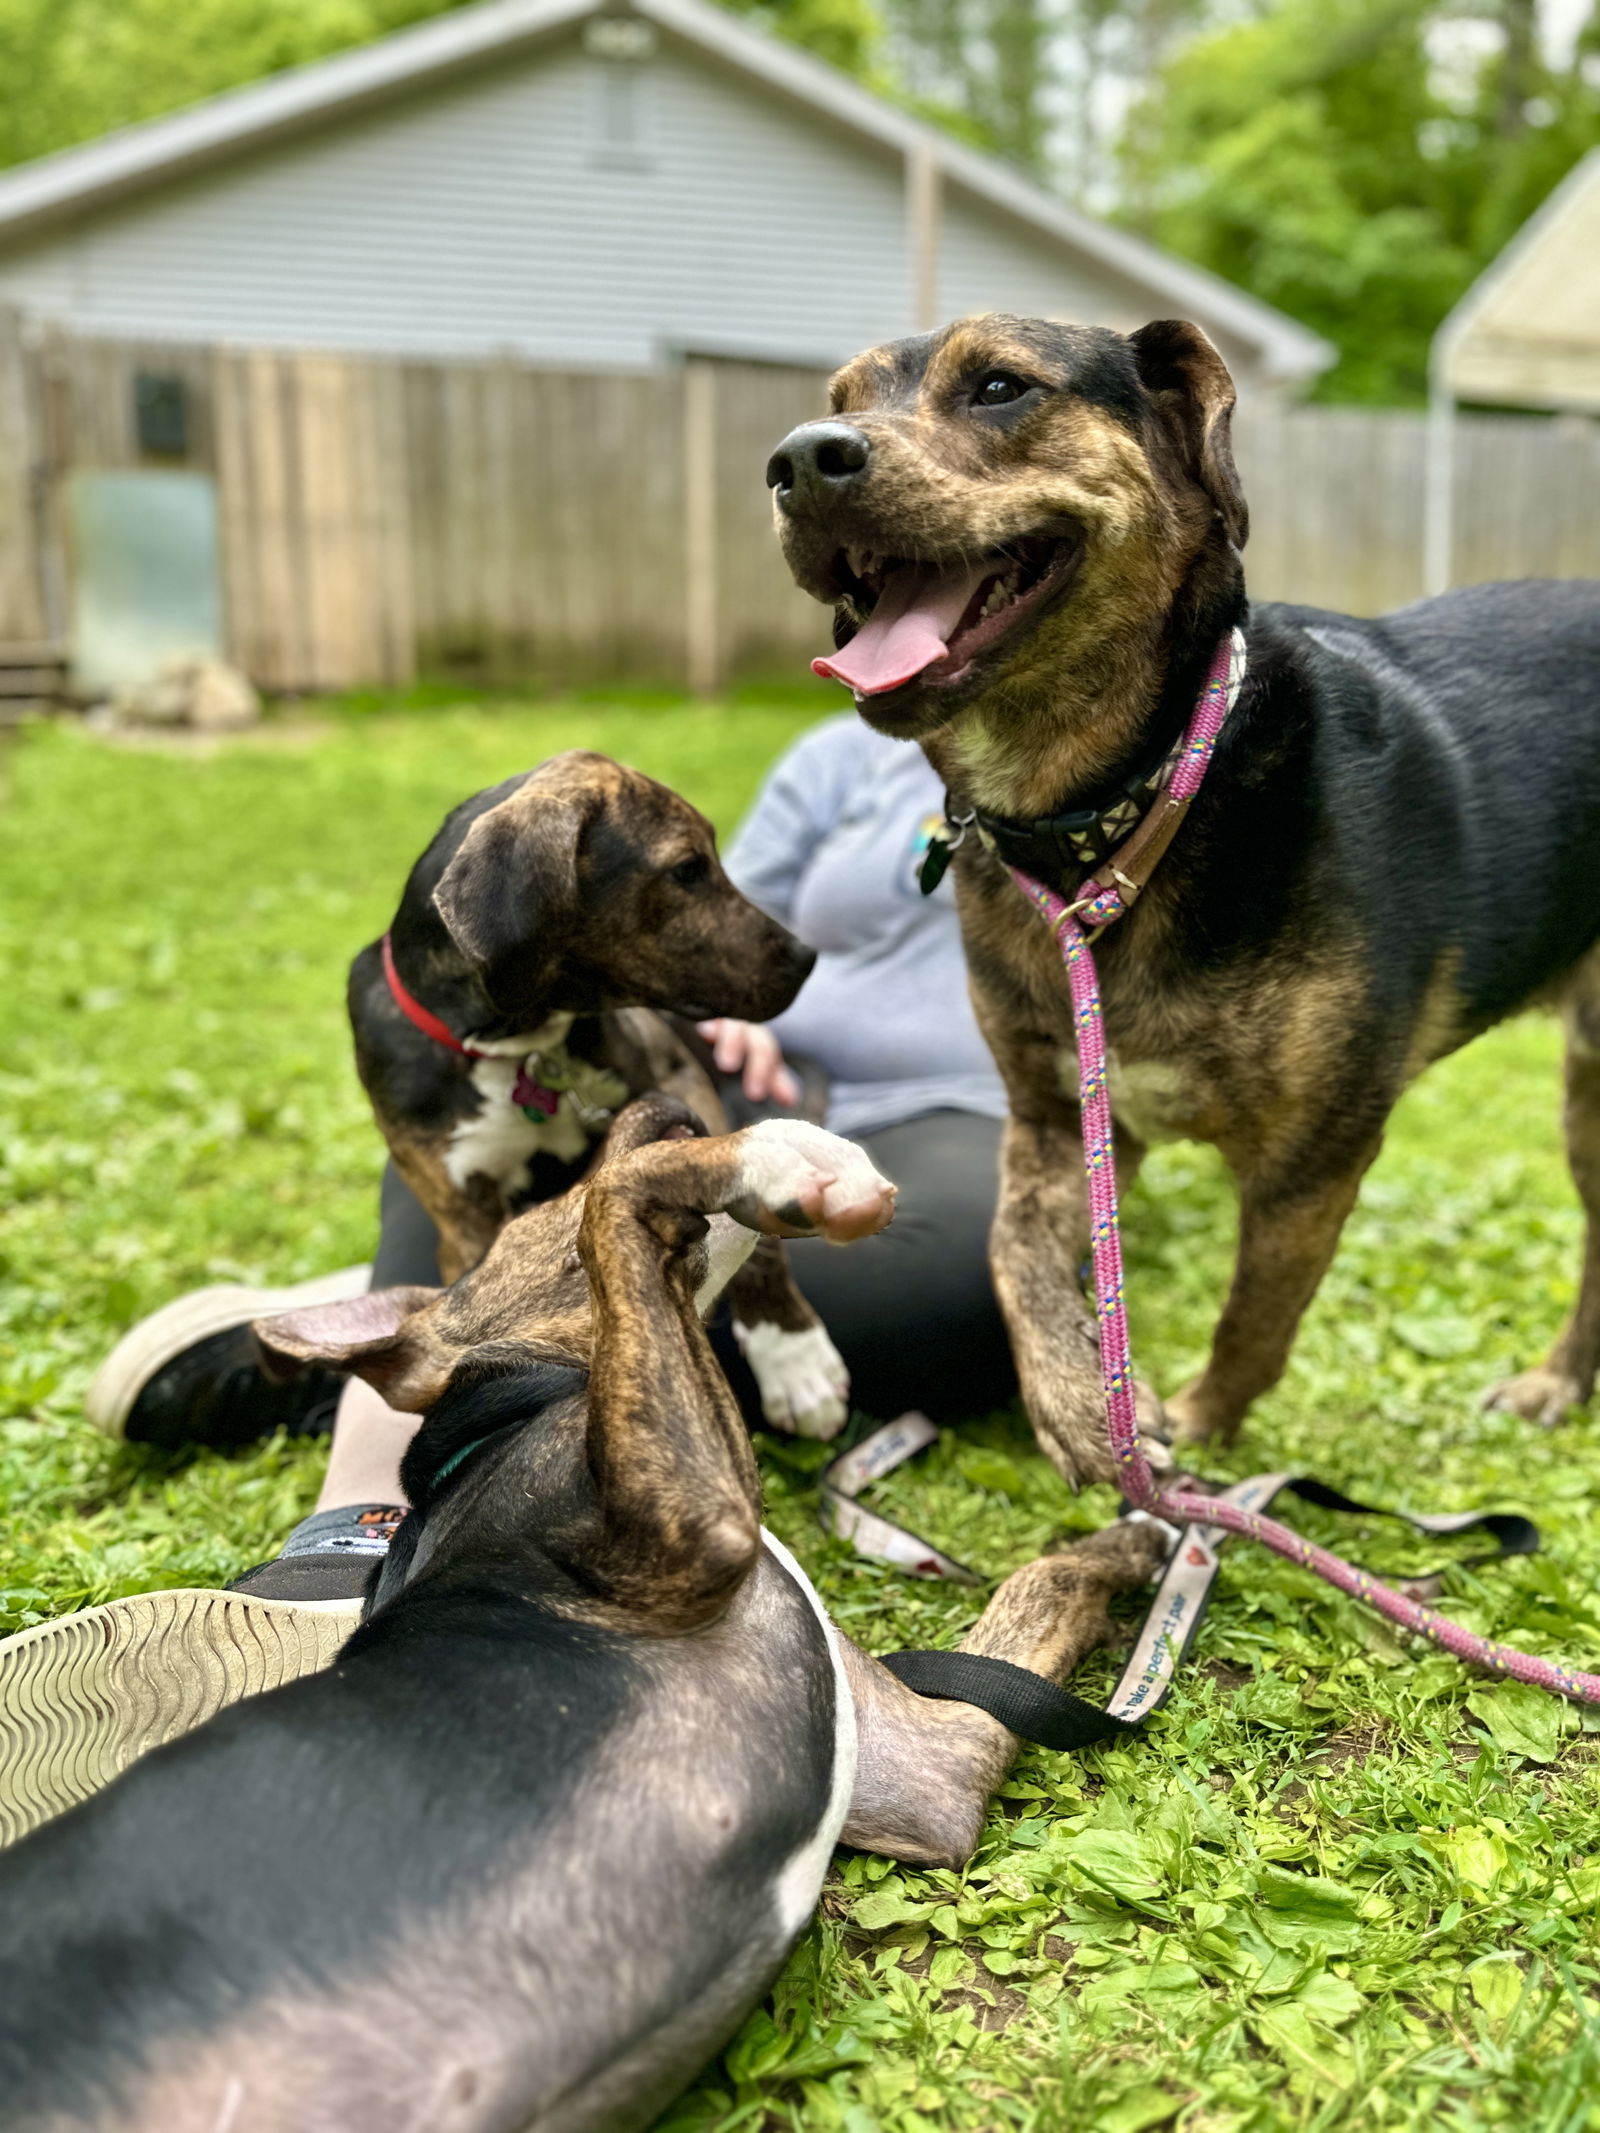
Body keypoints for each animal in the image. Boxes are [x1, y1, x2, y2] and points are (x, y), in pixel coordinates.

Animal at [0, 1100, 1160, 2133]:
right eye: (532, 1205)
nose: (660, 1093)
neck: (505, 1420)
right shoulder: (691, 1526)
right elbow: (619, 1203)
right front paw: (775, 1157)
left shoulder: (927, 1763)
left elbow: (1041, 1586)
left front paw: (1155, 1516)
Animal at [349, 746, 853, 1433]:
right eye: (687, 869)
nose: (806, 957)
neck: (519, 1045)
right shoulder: (462, 1214)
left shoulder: (677, 1080)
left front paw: (793, 1355)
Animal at [763, 311, 1600, 1484]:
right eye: (836, 400)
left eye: (999, 386)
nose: (796, 461)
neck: (1119, 815)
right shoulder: (1056, 1121)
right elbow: (1012, 1253)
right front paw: (1078, 1398)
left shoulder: (1312, 1164)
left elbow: (1253, 1323)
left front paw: (1197, 1438)